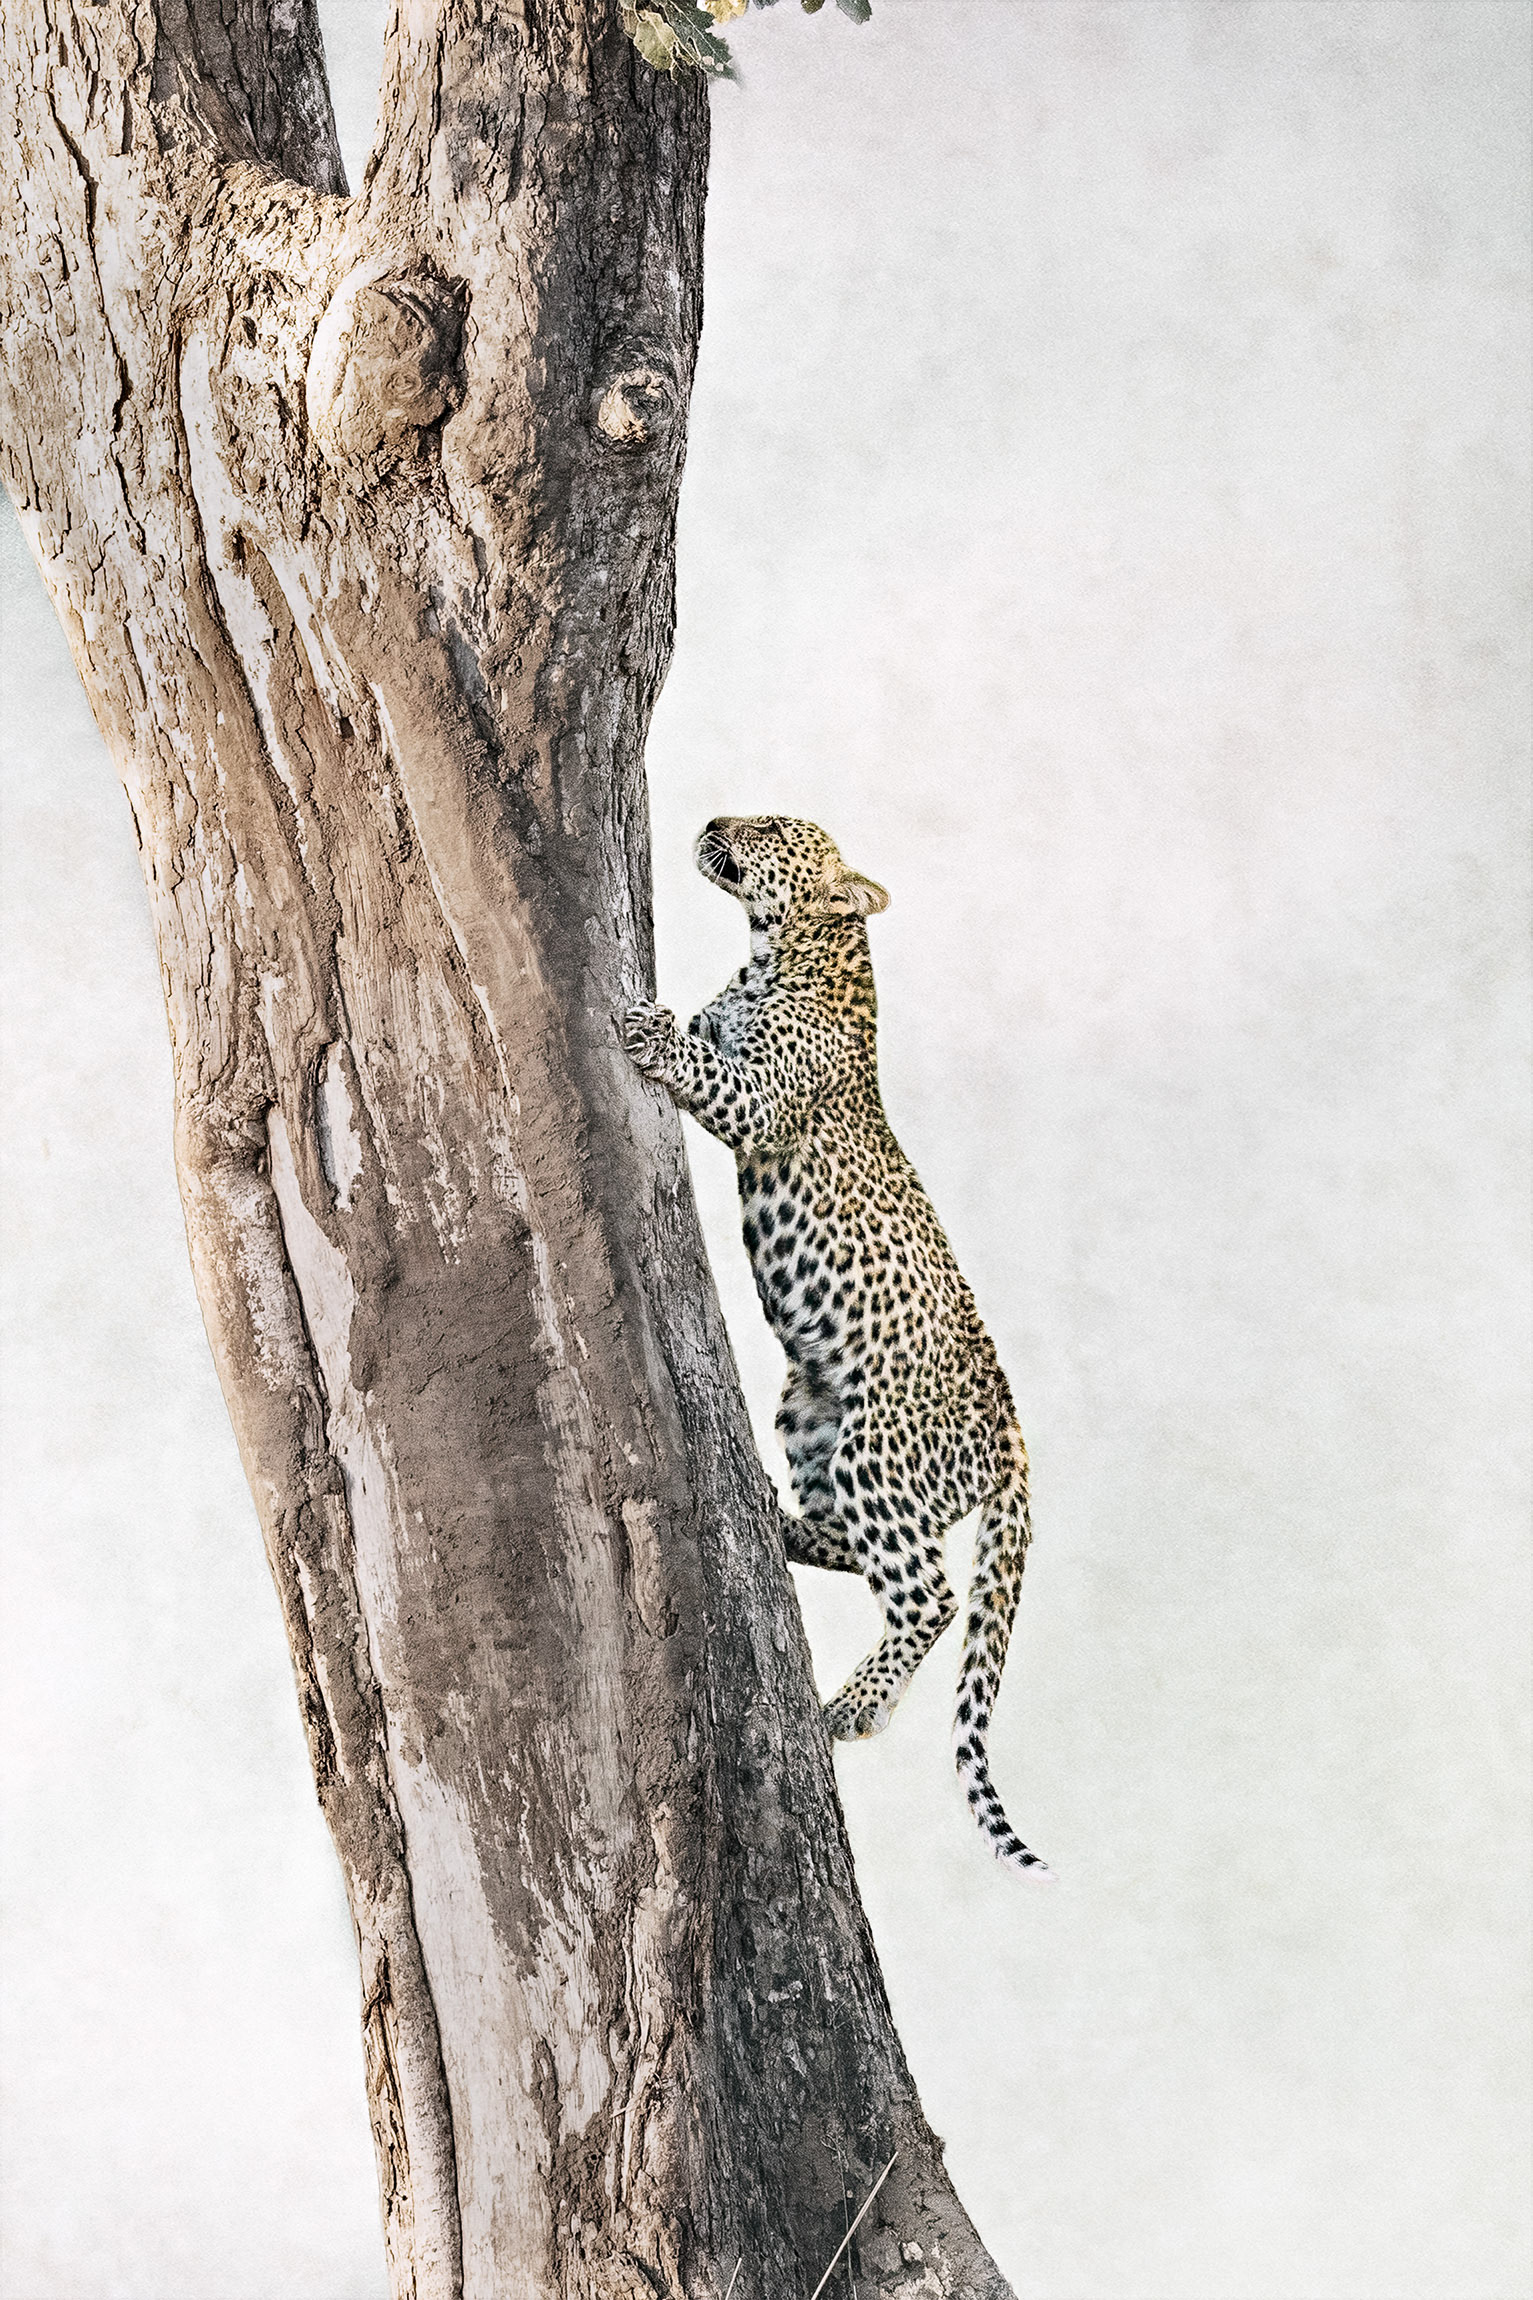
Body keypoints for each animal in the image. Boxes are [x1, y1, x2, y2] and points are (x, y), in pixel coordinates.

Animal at [623, 814, 1051, 1878]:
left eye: (774, 830)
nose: (711, 822)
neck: (782, 952)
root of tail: (1016, 1438)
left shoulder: (760, 1097)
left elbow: (709, 1071)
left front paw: (649, 1030)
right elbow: (707, 1036)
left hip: (876, 1452)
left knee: (929, 1592)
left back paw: (852, 1706)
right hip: (807, 1413)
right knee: (854, 1546)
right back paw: (773, 1524)